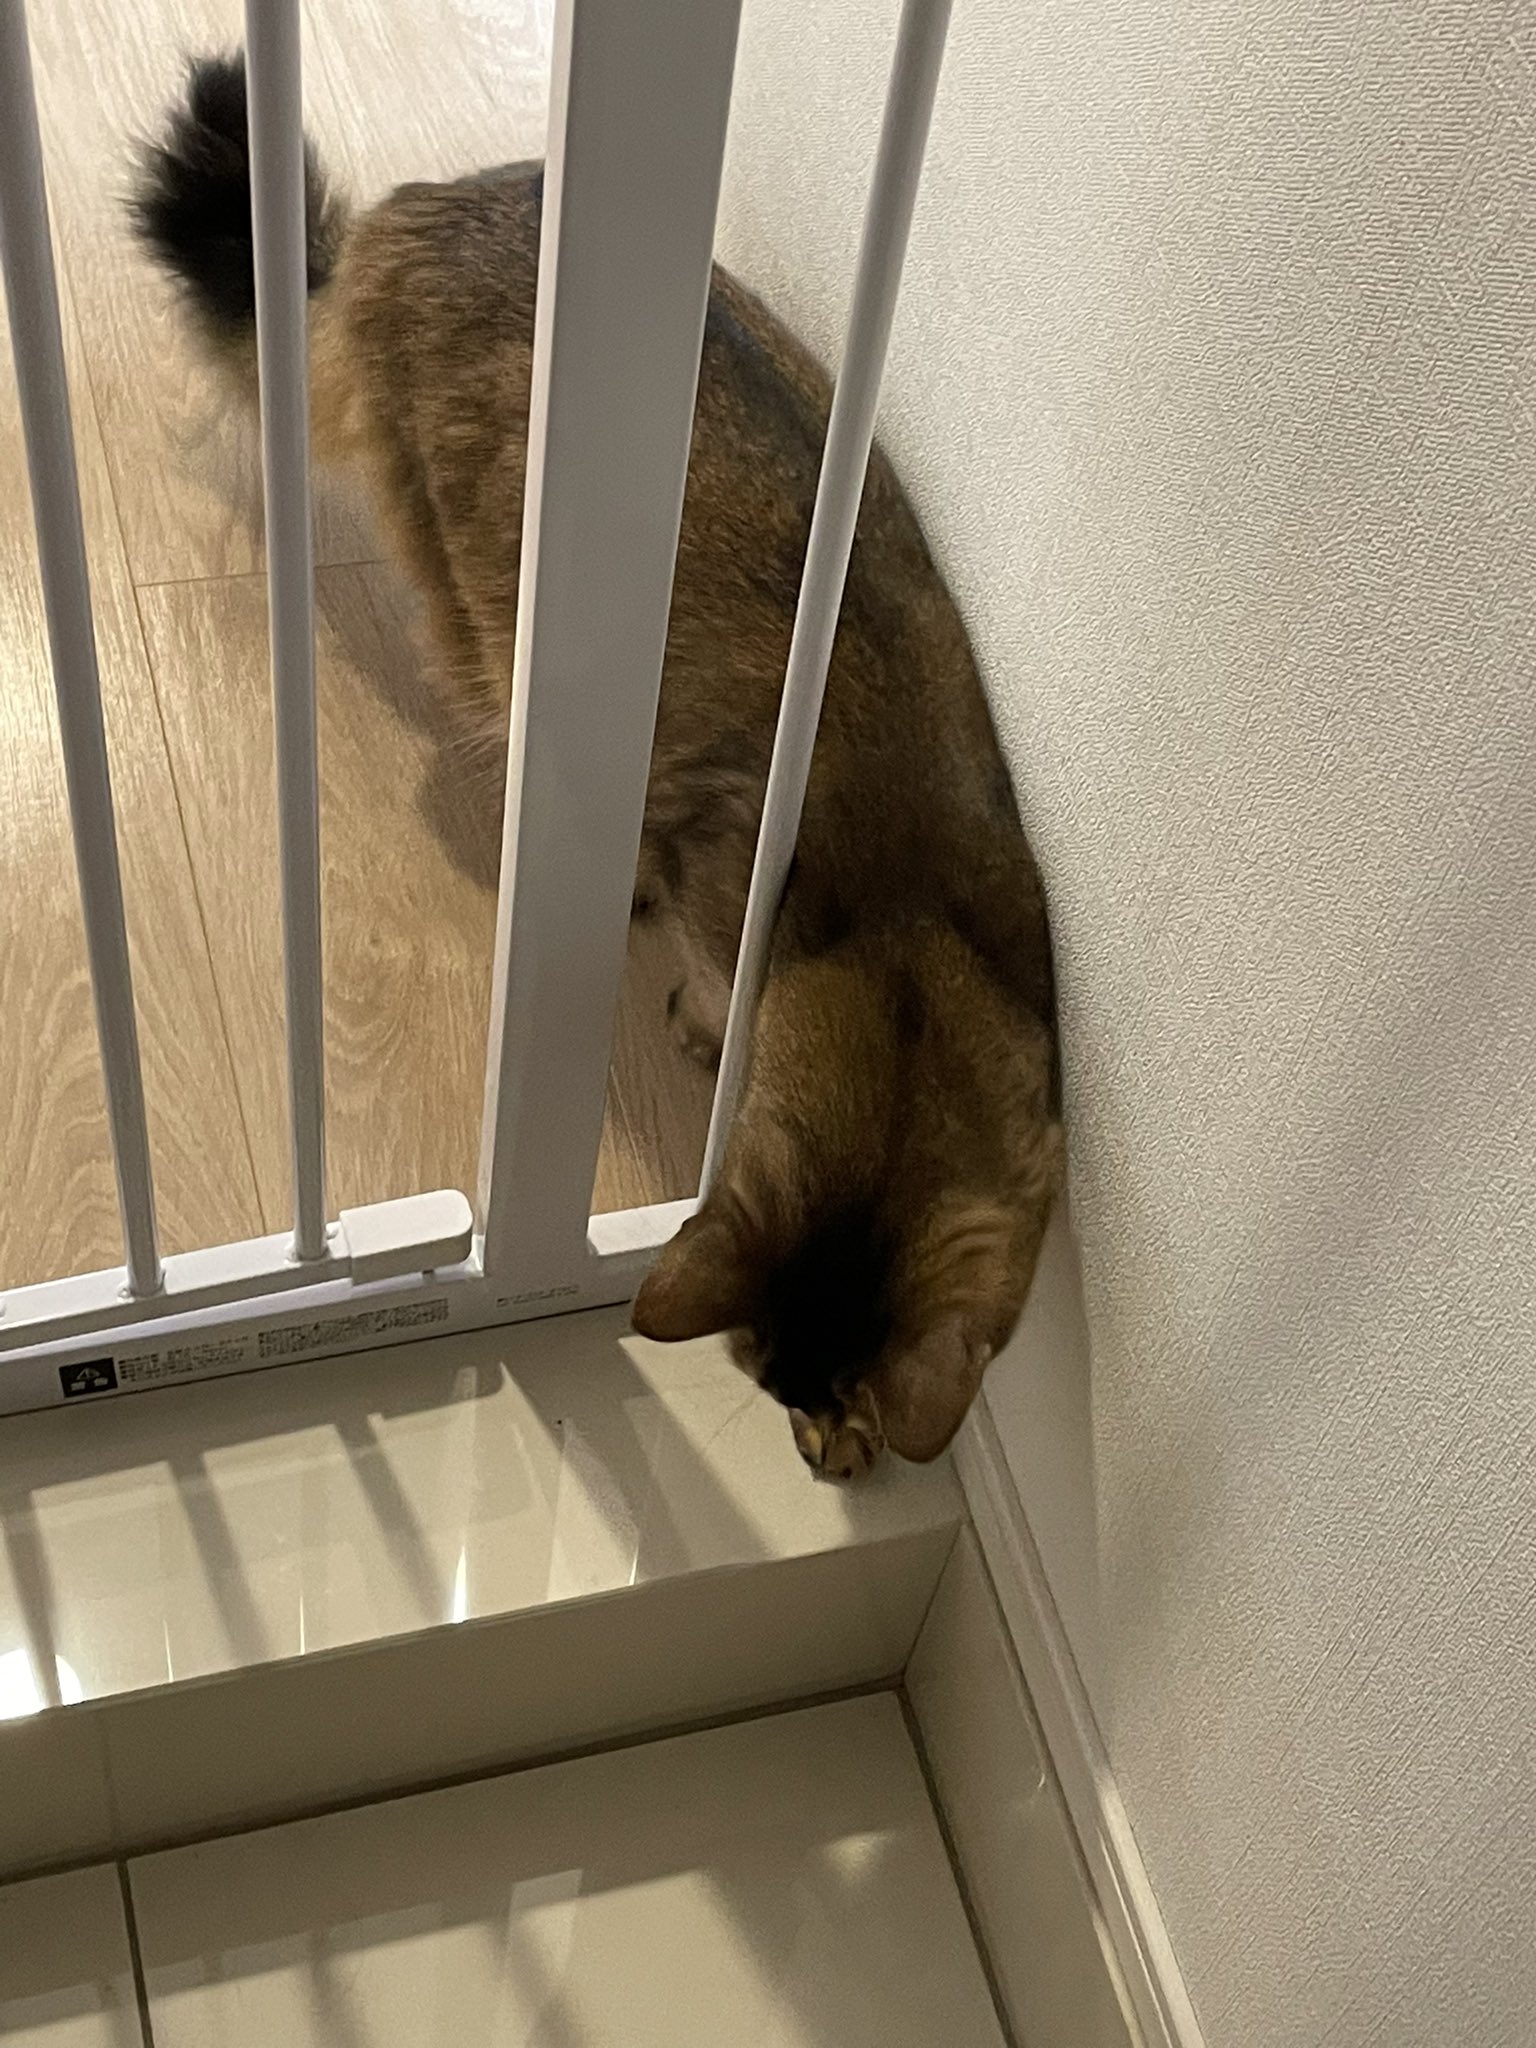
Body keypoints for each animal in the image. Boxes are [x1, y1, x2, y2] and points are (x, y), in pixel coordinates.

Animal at [132, 55, 1063, 1478]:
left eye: (809, 1387)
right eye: (761, 1373)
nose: (810, 1432)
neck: (910, 929)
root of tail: (405, 217)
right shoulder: (726, 890)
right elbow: (705, 971)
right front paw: (696, 1014)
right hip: (477, 596)